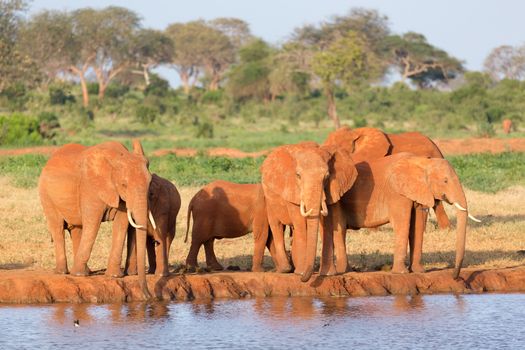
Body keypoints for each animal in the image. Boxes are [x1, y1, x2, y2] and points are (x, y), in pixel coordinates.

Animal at [38, 141, 155, 300]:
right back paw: (65, 272)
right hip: (46, 195)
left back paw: (85, 272)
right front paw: (78, 275)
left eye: (150, 183)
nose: (148, 297)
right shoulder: (90, 187)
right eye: (124, 185)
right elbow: (93, 223)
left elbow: (121, 224)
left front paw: (114, 276)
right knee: (57, 228)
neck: (117, 157)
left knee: (77, 229)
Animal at [258, 141, 356, 280]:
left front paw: (328, 274)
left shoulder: (332, 188)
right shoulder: (291, 189)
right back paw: (285, 270)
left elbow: (326, 222)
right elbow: (299, 221)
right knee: (276, 225)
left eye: (327, 176)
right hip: (268, 197)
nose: (303, 279)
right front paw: (300, 273)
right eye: (298, 175)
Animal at [332, 152, 478, 278]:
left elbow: (417, 226)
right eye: (445, 181)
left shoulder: (418, 191)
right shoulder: (397, 193)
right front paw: (401, 273)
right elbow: (402, 225)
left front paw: (419, 271)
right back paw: (345, 272)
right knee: (340, 230)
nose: (455, 276)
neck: (422, 162)